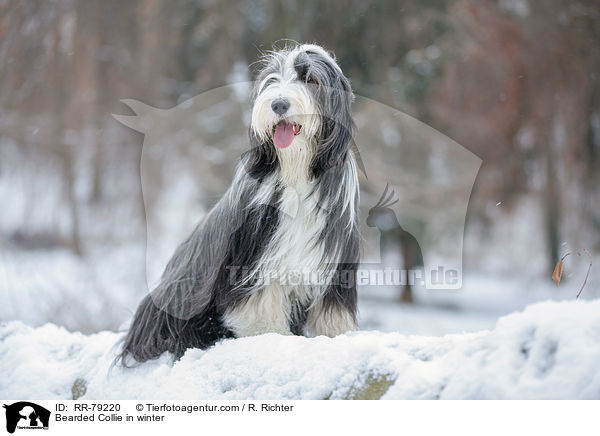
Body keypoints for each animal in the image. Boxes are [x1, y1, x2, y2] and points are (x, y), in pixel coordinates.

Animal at [119, 42, 358, 362]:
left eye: (310, 79)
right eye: (272, 79)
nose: (278, 104)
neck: (296, 171)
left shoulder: (335, 256)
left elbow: (331, 308)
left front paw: (334, 334)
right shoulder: (253, 255)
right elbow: (260, 304)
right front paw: (271, 335)